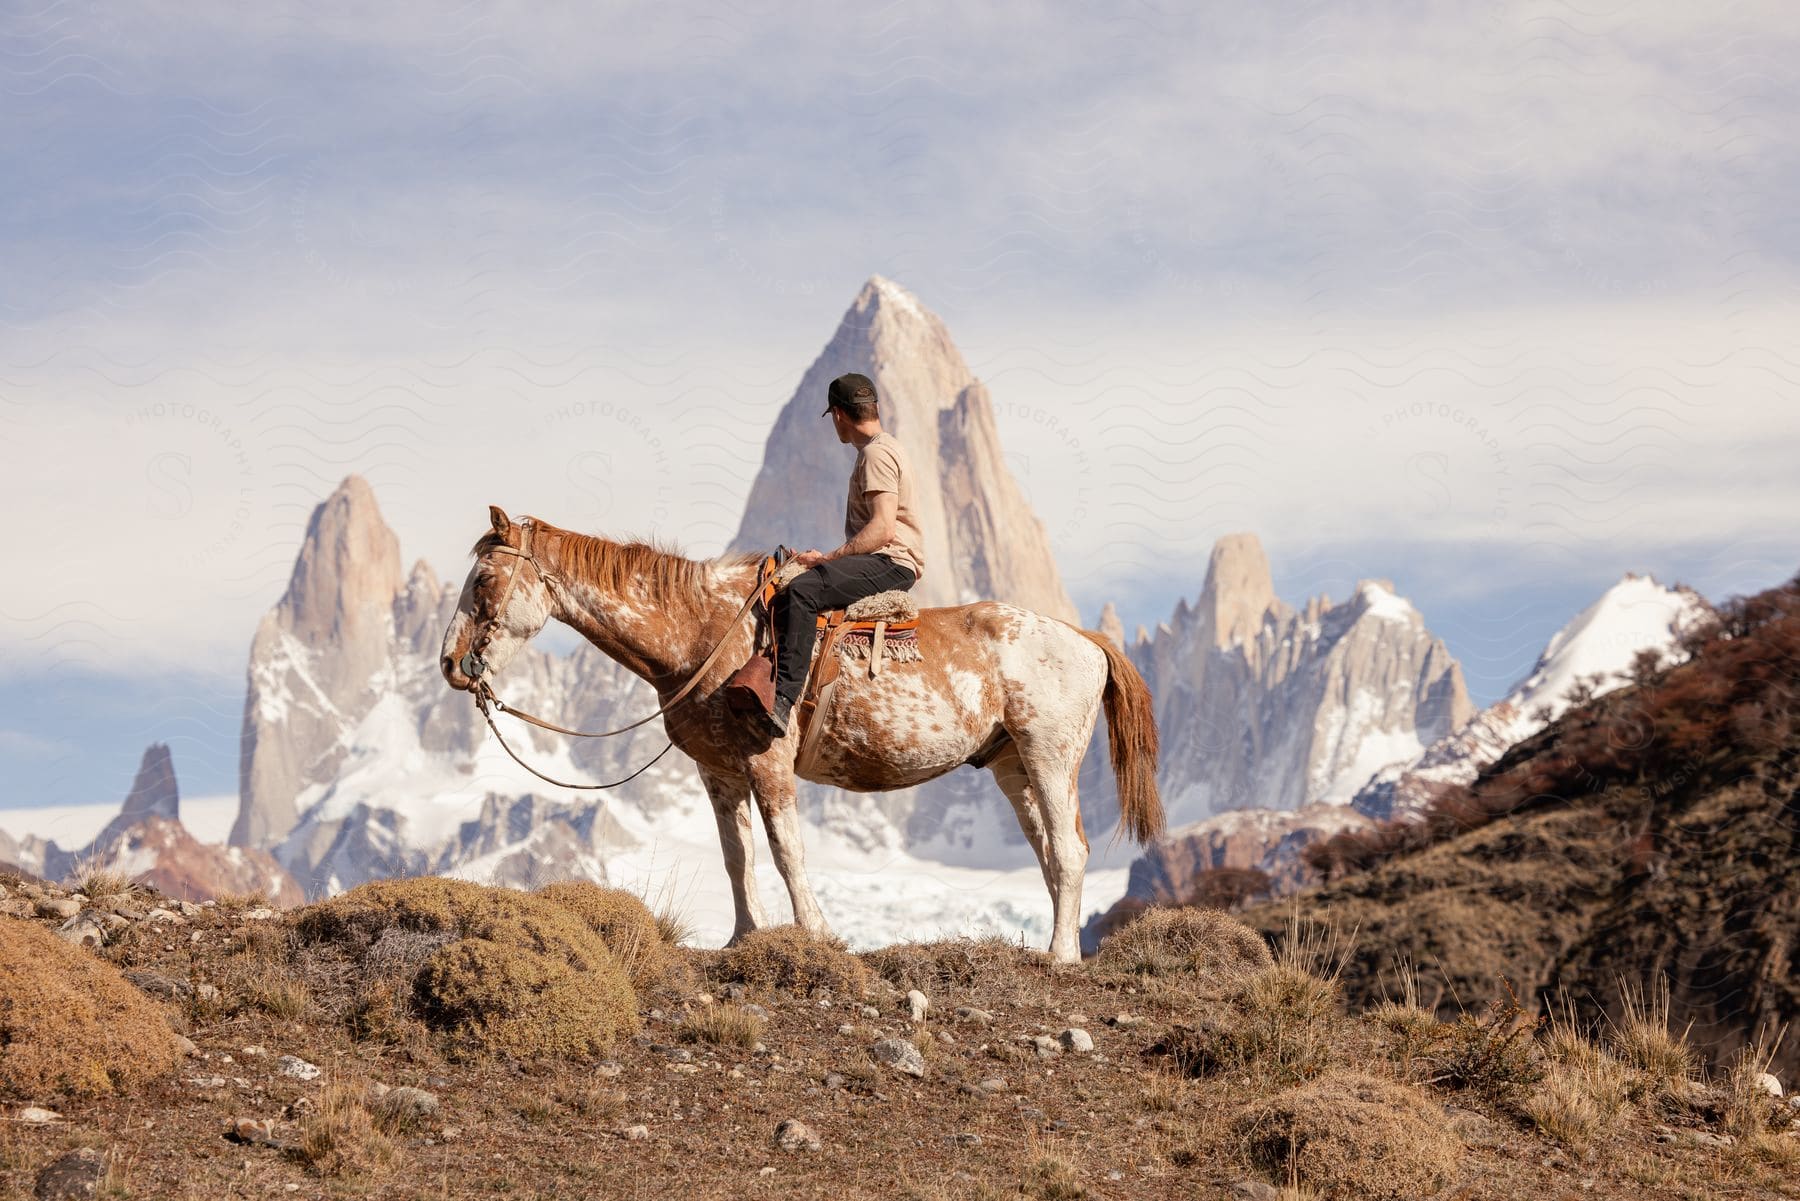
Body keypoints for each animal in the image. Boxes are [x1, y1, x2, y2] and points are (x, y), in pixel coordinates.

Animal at [442, 507, 1159, 965]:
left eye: (484, 580)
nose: (451, 664)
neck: (706, 633)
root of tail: (1086, 639)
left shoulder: (767, 761)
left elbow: (788, 849)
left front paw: (814, 933)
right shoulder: (718, 770)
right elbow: (738, 855)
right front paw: (743, 939)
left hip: (1049, 754)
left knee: (1069, 850)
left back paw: (1061, 956)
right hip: (1012, 765)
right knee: (1050, 852)